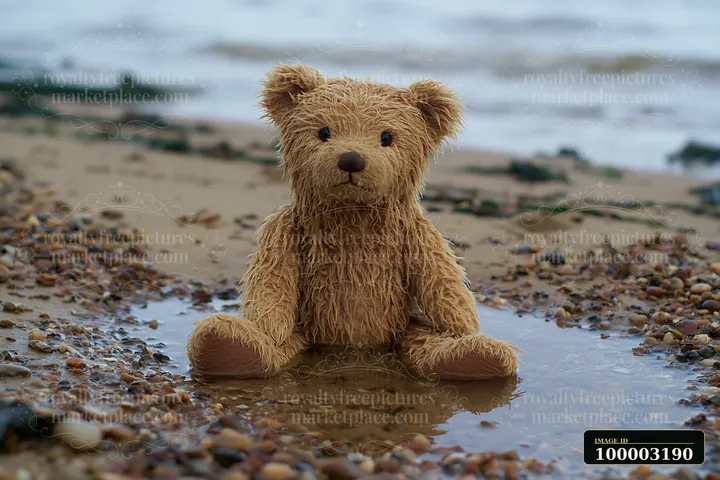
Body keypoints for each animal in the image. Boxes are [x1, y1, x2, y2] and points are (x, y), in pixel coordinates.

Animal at [187, 63, 519, 380]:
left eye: (386, 137)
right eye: (323, 132)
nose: (351, 159)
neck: (352, 215)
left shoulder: (416, 234)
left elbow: (443, 282)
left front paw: (463, 322)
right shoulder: (284, 230)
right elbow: (272, 280)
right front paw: (268, 324)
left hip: (405, 329)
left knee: (426, 340)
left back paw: (475, 357)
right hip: (305, 330)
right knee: (275, 343)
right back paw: (229, 346)